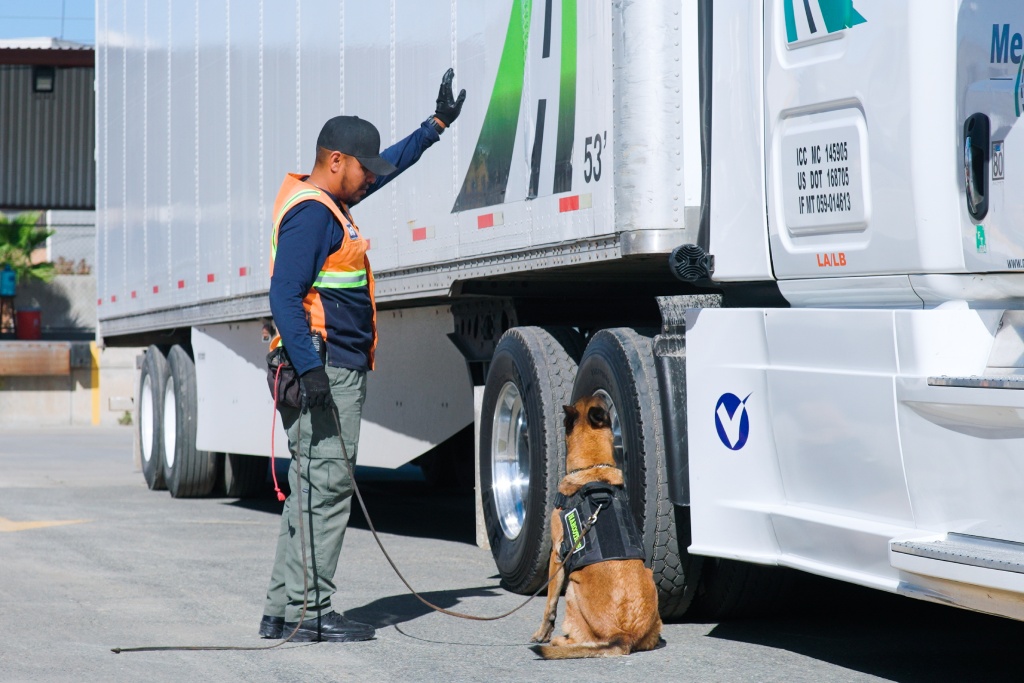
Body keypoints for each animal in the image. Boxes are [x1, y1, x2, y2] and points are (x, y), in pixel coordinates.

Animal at [528, 397, 663, 659]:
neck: (594, 469)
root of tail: (624, 636)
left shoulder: (557, 557)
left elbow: (550, 604)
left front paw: (543, 633)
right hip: (649, 578)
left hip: (572, 589)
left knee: (579, 638)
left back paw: (560, 641)